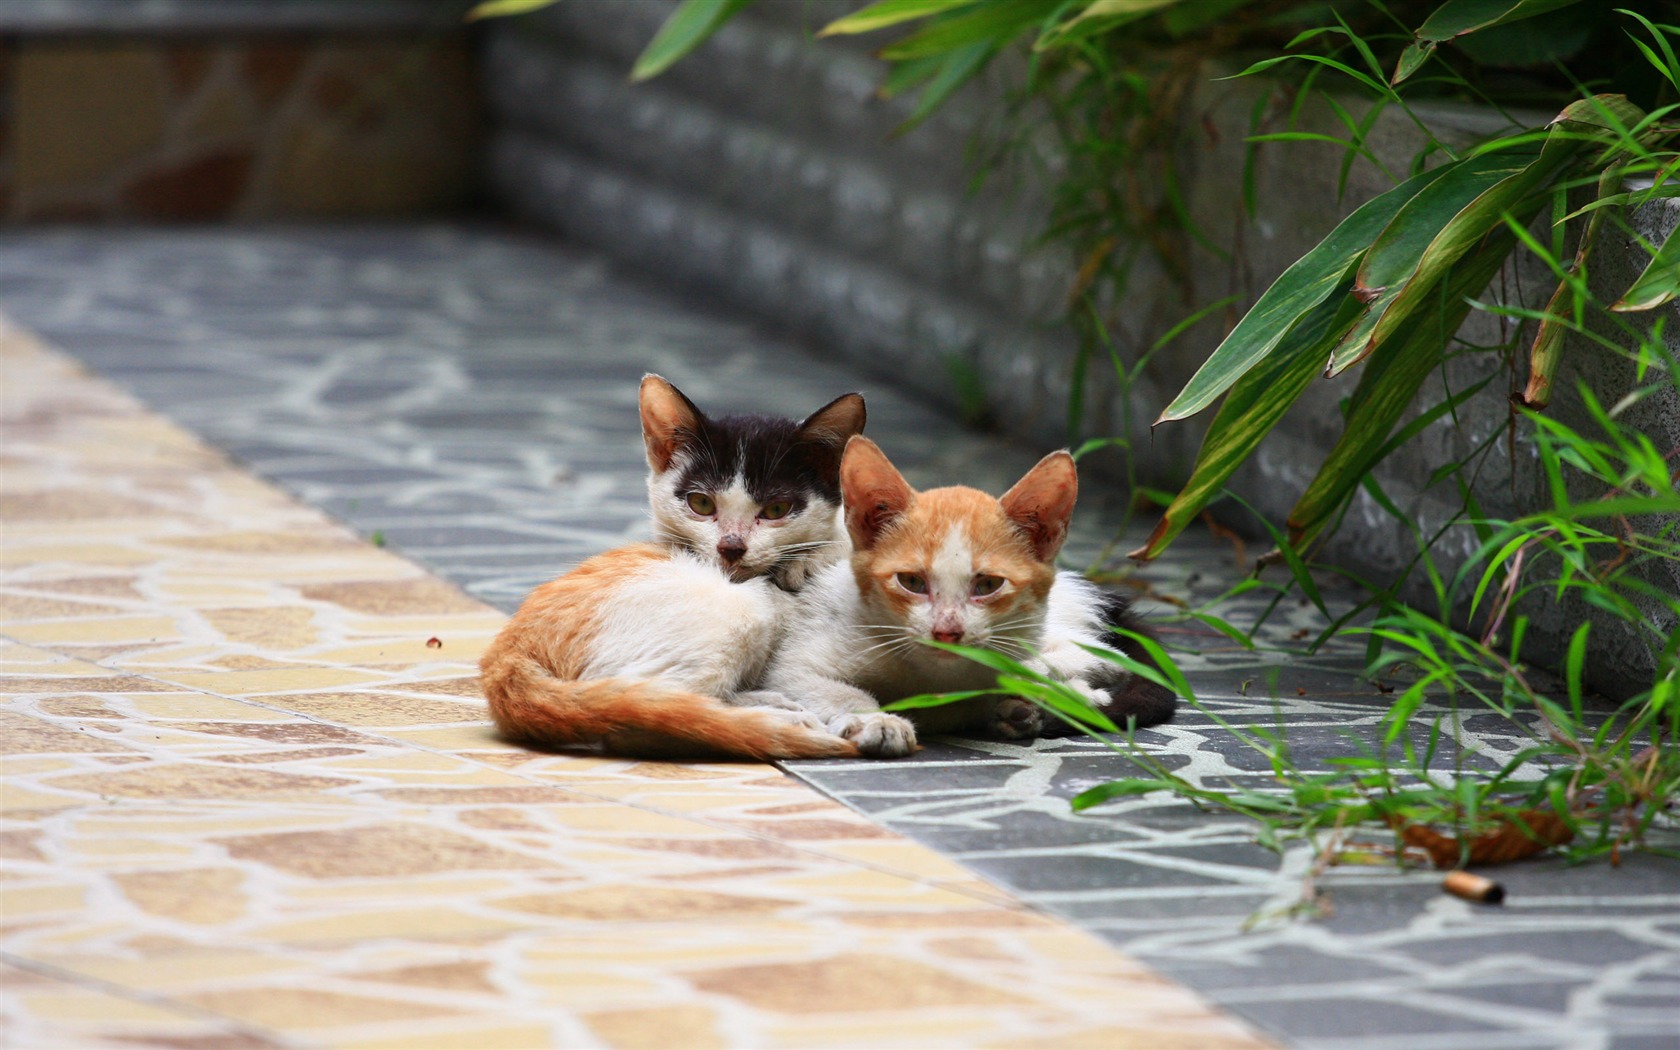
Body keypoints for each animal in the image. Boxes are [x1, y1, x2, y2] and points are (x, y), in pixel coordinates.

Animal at [473, 372, 866, 756]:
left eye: (776, 510)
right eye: (701, 503)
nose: (731, 547)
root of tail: (507, 654)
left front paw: (813, 555)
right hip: (737, 609)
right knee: (644, 711)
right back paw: (776, 717)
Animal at [769, 433, 1176, 752]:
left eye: (988, 585)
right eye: (911, 582)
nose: (947, 631)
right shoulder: (799, 659)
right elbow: (817, 684)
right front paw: (875, 720)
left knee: (1103, 656)